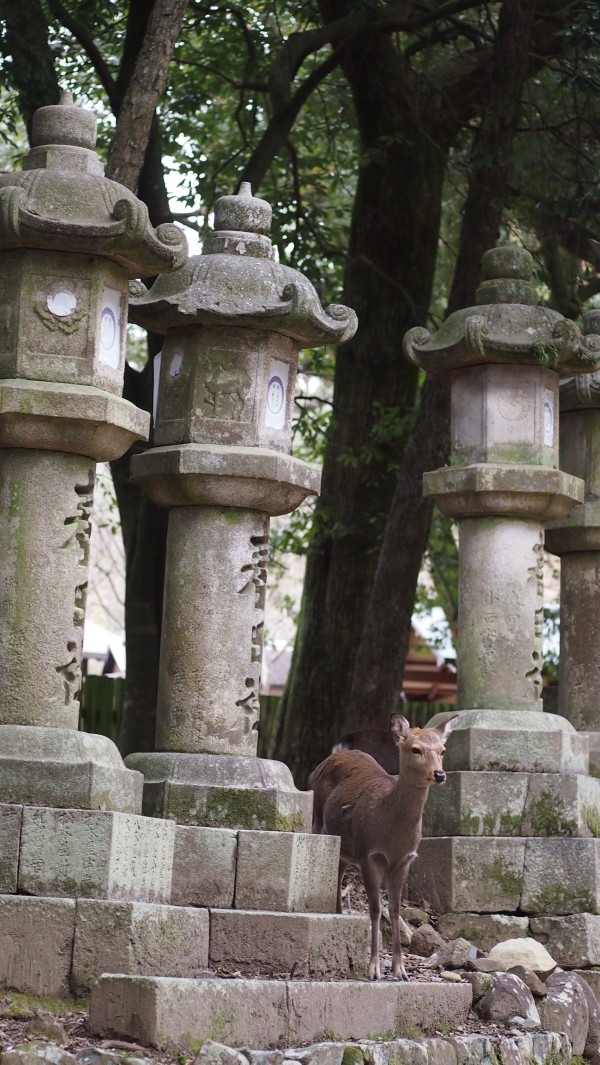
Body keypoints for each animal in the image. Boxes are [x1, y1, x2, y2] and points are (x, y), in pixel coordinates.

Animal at [313, 715, 458, 979]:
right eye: (415, 749)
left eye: (442, 750)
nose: (439, 774)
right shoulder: (368, 854)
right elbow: (375, 909)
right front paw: (374, 970)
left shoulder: (404, 860)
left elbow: (395, 909)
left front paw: (401, 971)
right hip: (317, 818)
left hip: (344, 846)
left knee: (338, 870)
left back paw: (338, 912)